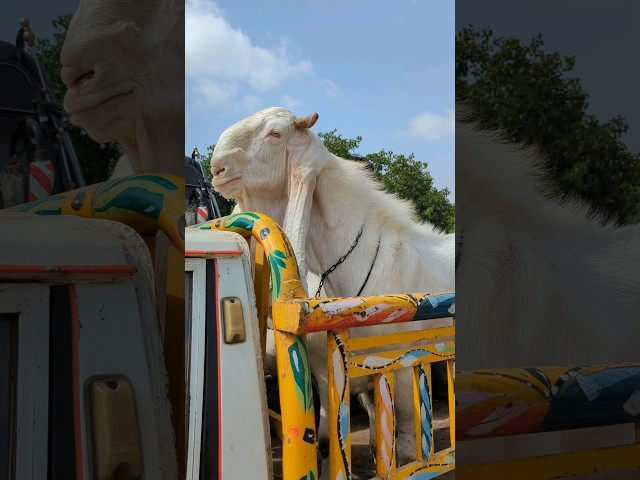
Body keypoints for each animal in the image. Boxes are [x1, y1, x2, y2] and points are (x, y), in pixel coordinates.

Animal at [210, 106, 456, 472]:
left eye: (275, 134)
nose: (217, 168)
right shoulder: (334, 376)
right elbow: (331, 439)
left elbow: (407, 451)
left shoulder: (404, 366)